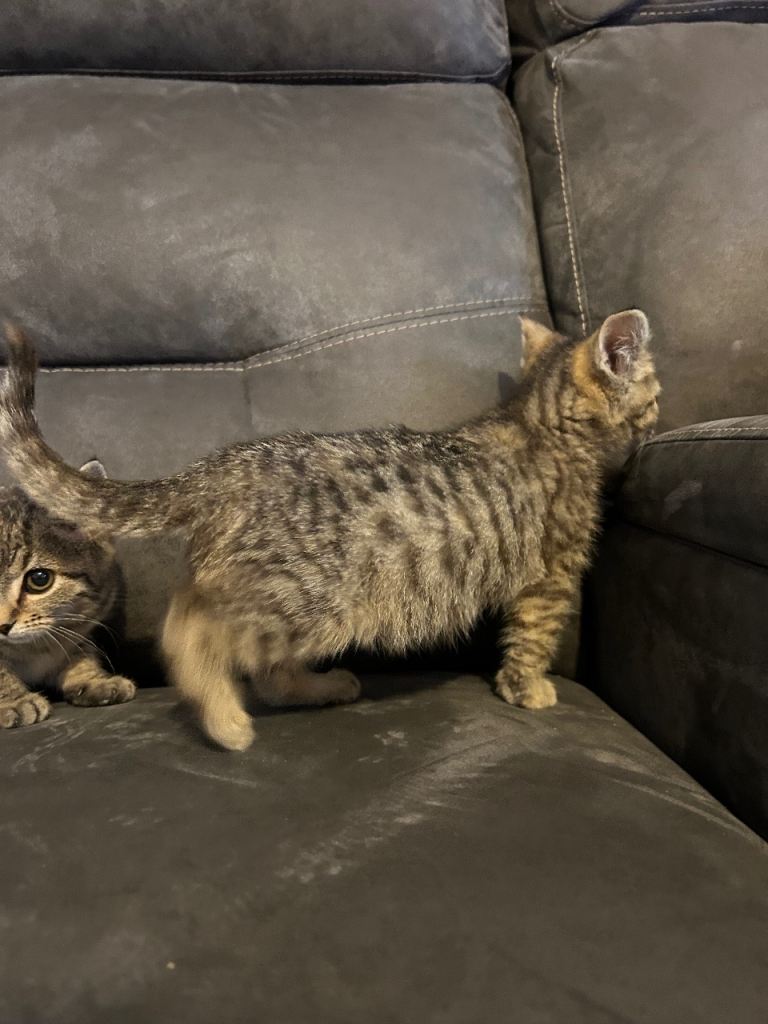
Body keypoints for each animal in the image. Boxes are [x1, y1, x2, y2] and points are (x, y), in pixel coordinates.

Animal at [0, 468, 136, 728]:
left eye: (39, 579)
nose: (2, 626)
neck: (32, 649)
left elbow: (79, 651)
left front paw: (94, 680)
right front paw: (15, 701)